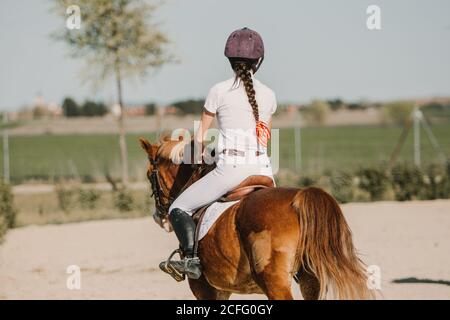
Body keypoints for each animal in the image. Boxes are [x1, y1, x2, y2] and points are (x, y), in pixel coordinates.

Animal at [140, 136, 372, 300]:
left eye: (149, 175)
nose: (158, 217)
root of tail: (299, 198)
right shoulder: (221, 289)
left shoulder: (204, 288)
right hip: (309, 279)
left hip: (275, 283)